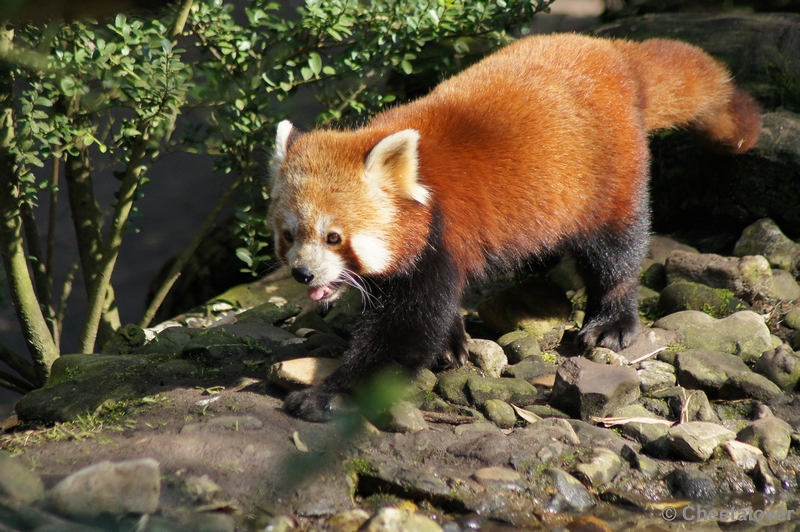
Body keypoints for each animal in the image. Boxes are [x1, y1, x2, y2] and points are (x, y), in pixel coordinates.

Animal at [270, 34, 764, 424]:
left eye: (334, 237)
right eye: (290, 236)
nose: (303, 274)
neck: (421, 187)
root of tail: (613, 52)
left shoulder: (439, 237)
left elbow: (403, 331)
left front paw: (328, 396)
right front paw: (452, 346)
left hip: (607, 173)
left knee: (615, 249)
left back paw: (612, 319)